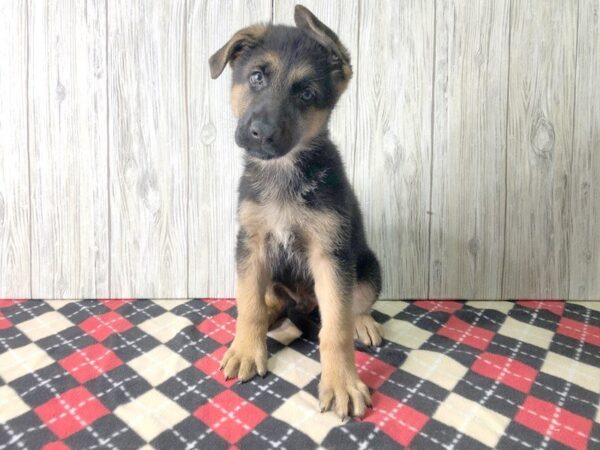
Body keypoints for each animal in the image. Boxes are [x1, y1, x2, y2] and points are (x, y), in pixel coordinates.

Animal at [209, 4, 382, 418]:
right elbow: (248, 303)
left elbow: (335, 328)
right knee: (267, 300)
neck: (283, 172)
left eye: (306, 93)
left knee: (356, 305)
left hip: (368, 266)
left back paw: (363, 322)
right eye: (256, 77)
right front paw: (246, 348)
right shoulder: (251, 243)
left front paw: (342, 382)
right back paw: (269, 316)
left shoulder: (330, 254)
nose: (261, 133)